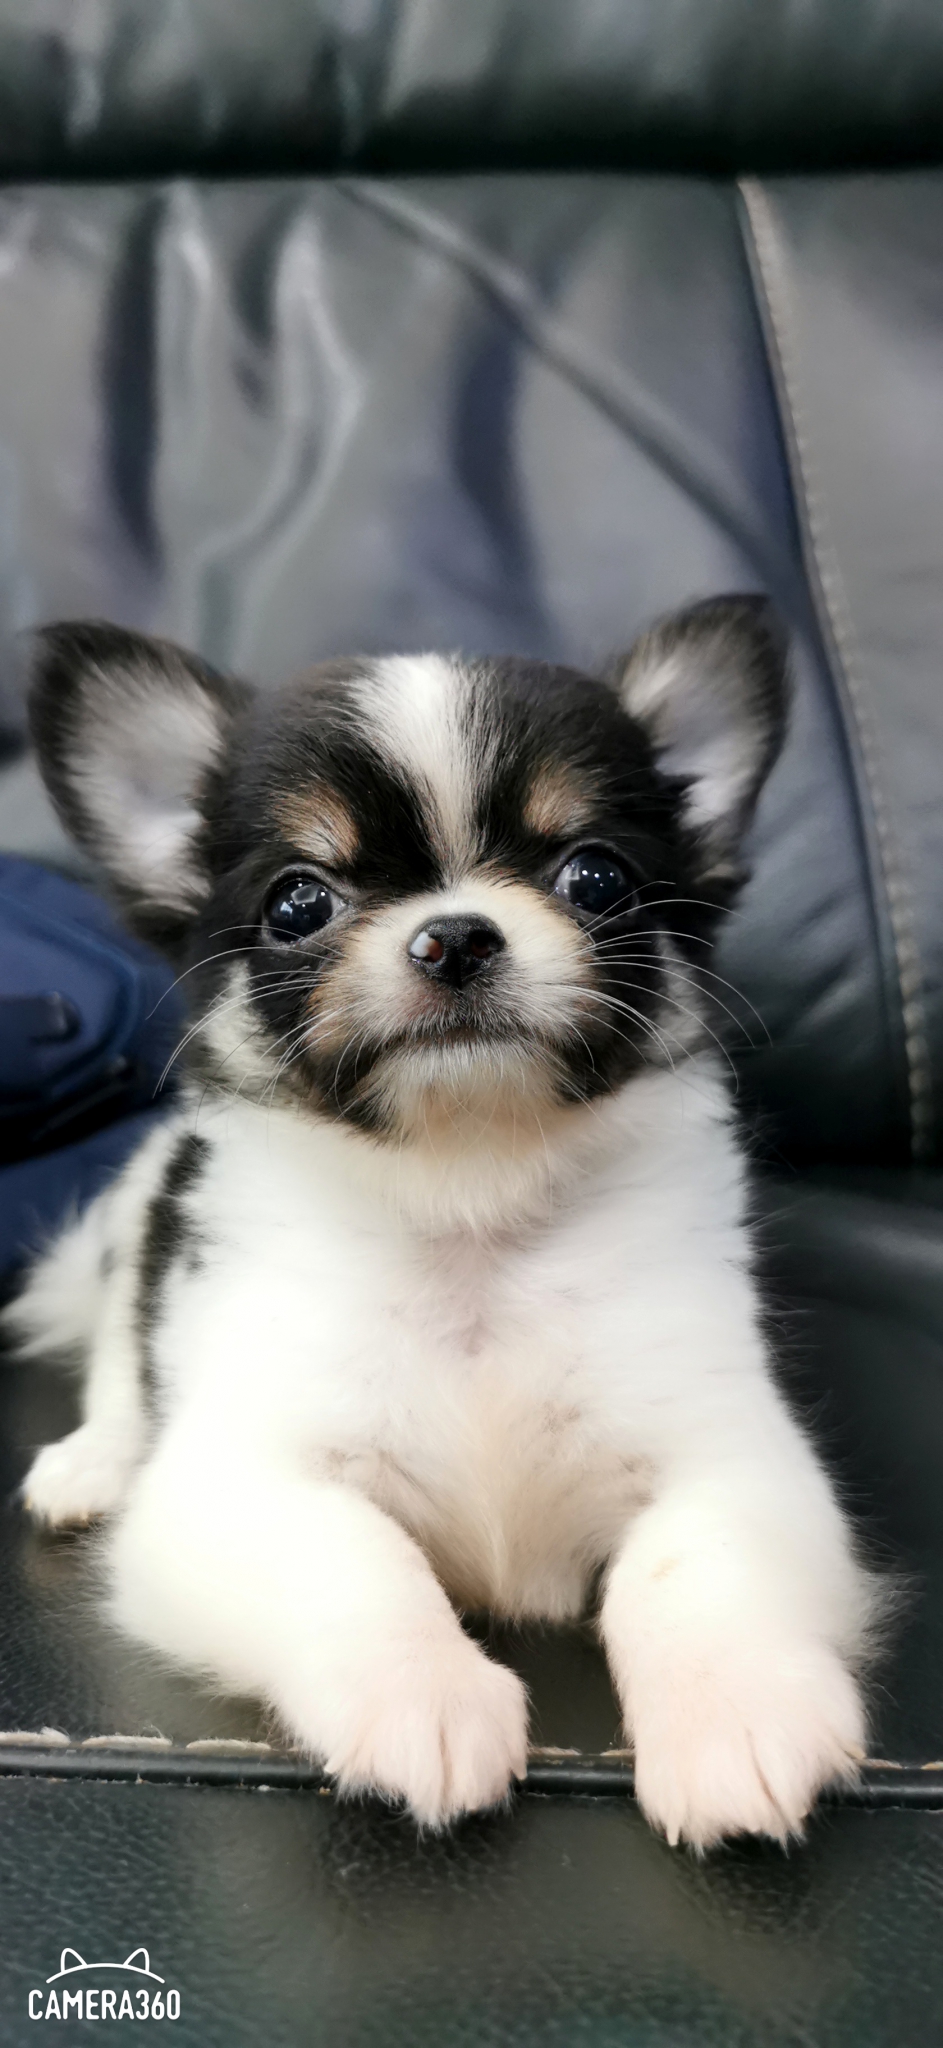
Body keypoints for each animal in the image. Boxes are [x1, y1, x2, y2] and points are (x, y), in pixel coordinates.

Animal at [8, 596, 879, 1848]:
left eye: (595, 876)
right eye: (299, 902)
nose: (456, 933)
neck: (467, 1195)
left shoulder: (733, 1455)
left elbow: (691, 1565)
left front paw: (734, 1709)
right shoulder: (234, 1479)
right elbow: (352, 1551)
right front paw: (421, 1692)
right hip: (137, 1237)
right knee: (122, 1381)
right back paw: (90, 1461)